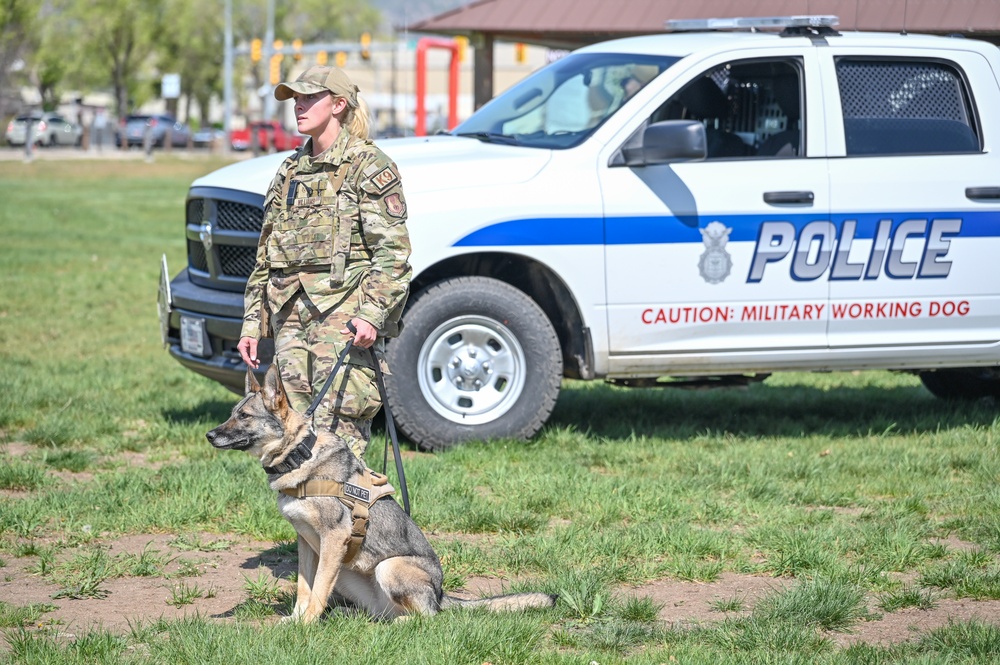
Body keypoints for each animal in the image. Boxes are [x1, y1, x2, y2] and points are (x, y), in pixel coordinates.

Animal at [207, 364, 560, 624]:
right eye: (232, 413)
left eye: (244, 416)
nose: (209, 435)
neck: (300, 456)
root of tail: (441, 594)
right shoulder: (308, 544)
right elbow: (304, 588)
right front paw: (295, 621)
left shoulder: (333, 539)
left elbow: (317, 591)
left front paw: (305, 627)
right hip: (349, 573)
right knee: (383, 613)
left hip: (388, 567)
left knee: (429, 619)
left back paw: (402, 622)